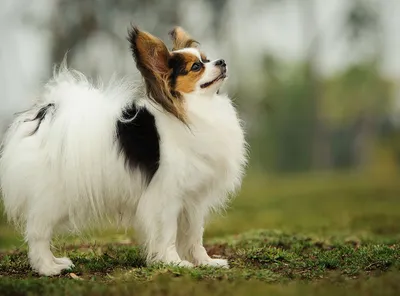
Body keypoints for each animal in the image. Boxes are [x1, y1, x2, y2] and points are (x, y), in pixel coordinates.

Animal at [0, 25, 247, 276]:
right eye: (196, 67)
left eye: (206, 59)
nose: (222, 61)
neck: (193, 109)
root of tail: (43, 117)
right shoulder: (166, 197)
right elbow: (167, 233)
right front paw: (173, 262)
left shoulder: (193, 200)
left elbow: (194, 236)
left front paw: (205, 262)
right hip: (53, 198)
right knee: (37, 233)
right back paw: (48, 267)